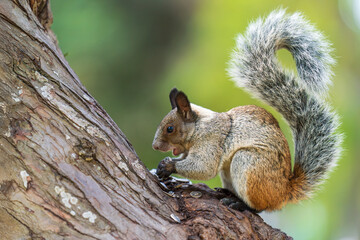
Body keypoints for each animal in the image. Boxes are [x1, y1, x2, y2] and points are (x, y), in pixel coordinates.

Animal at [150, 9, 342, 212]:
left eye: (170, 128)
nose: (155, 146)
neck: (199, 126)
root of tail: (283, 193)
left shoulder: (211, 141)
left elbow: (203, 167)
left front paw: (168, 166)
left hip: (247, 163)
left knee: (260, 206)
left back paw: (240, 203)